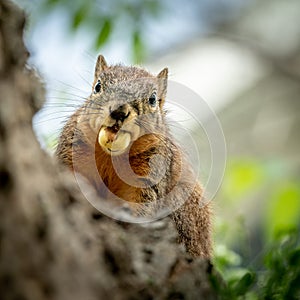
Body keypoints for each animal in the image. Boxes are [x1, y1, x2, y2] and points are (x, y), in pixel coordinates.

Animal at [55, 55, 212, 258]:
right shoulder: (71, 150)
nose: (118, 111)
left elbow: (142, 206)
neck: (112, 156)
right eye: (98, 86)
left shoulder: (151, 171)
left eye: (152, 99)